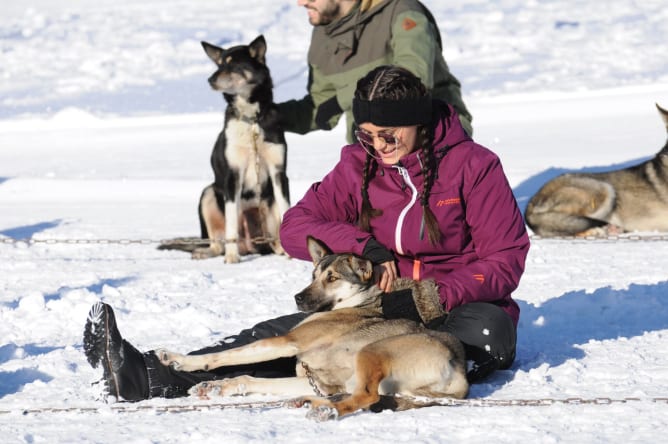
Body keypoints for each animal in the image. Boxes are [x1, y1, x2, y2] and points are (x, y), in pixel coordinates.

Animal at [158, 238, 470, 422]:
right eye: (313, 274)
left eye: (332, 278)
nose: (297, 297)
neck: (354, 304)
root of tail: (459, 370)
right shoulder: (315, 378)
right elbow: (249, 377)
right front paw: (217, 386)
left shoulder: (288, 341)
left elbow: (229, 354)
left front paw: (181, 359)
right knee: (357, 395)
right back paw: (307, 401)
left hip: (373, 351)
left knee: (366, 396)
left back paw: (326, 409)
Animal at [160, 36, 290, 264]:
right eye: (219, 64)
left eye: (233, 64)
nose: (210, 79)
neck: (251, 119)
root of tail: (252, 245)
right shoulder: (233, 176)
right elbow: (230, 225)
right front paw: (231, 257)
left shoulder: (279, 173)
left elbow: (287, 210)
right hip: (209, 194)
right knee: (216, 243)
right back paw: (206, 252)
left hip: (269, 204)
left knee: (274, 240)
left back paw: (281, 248)